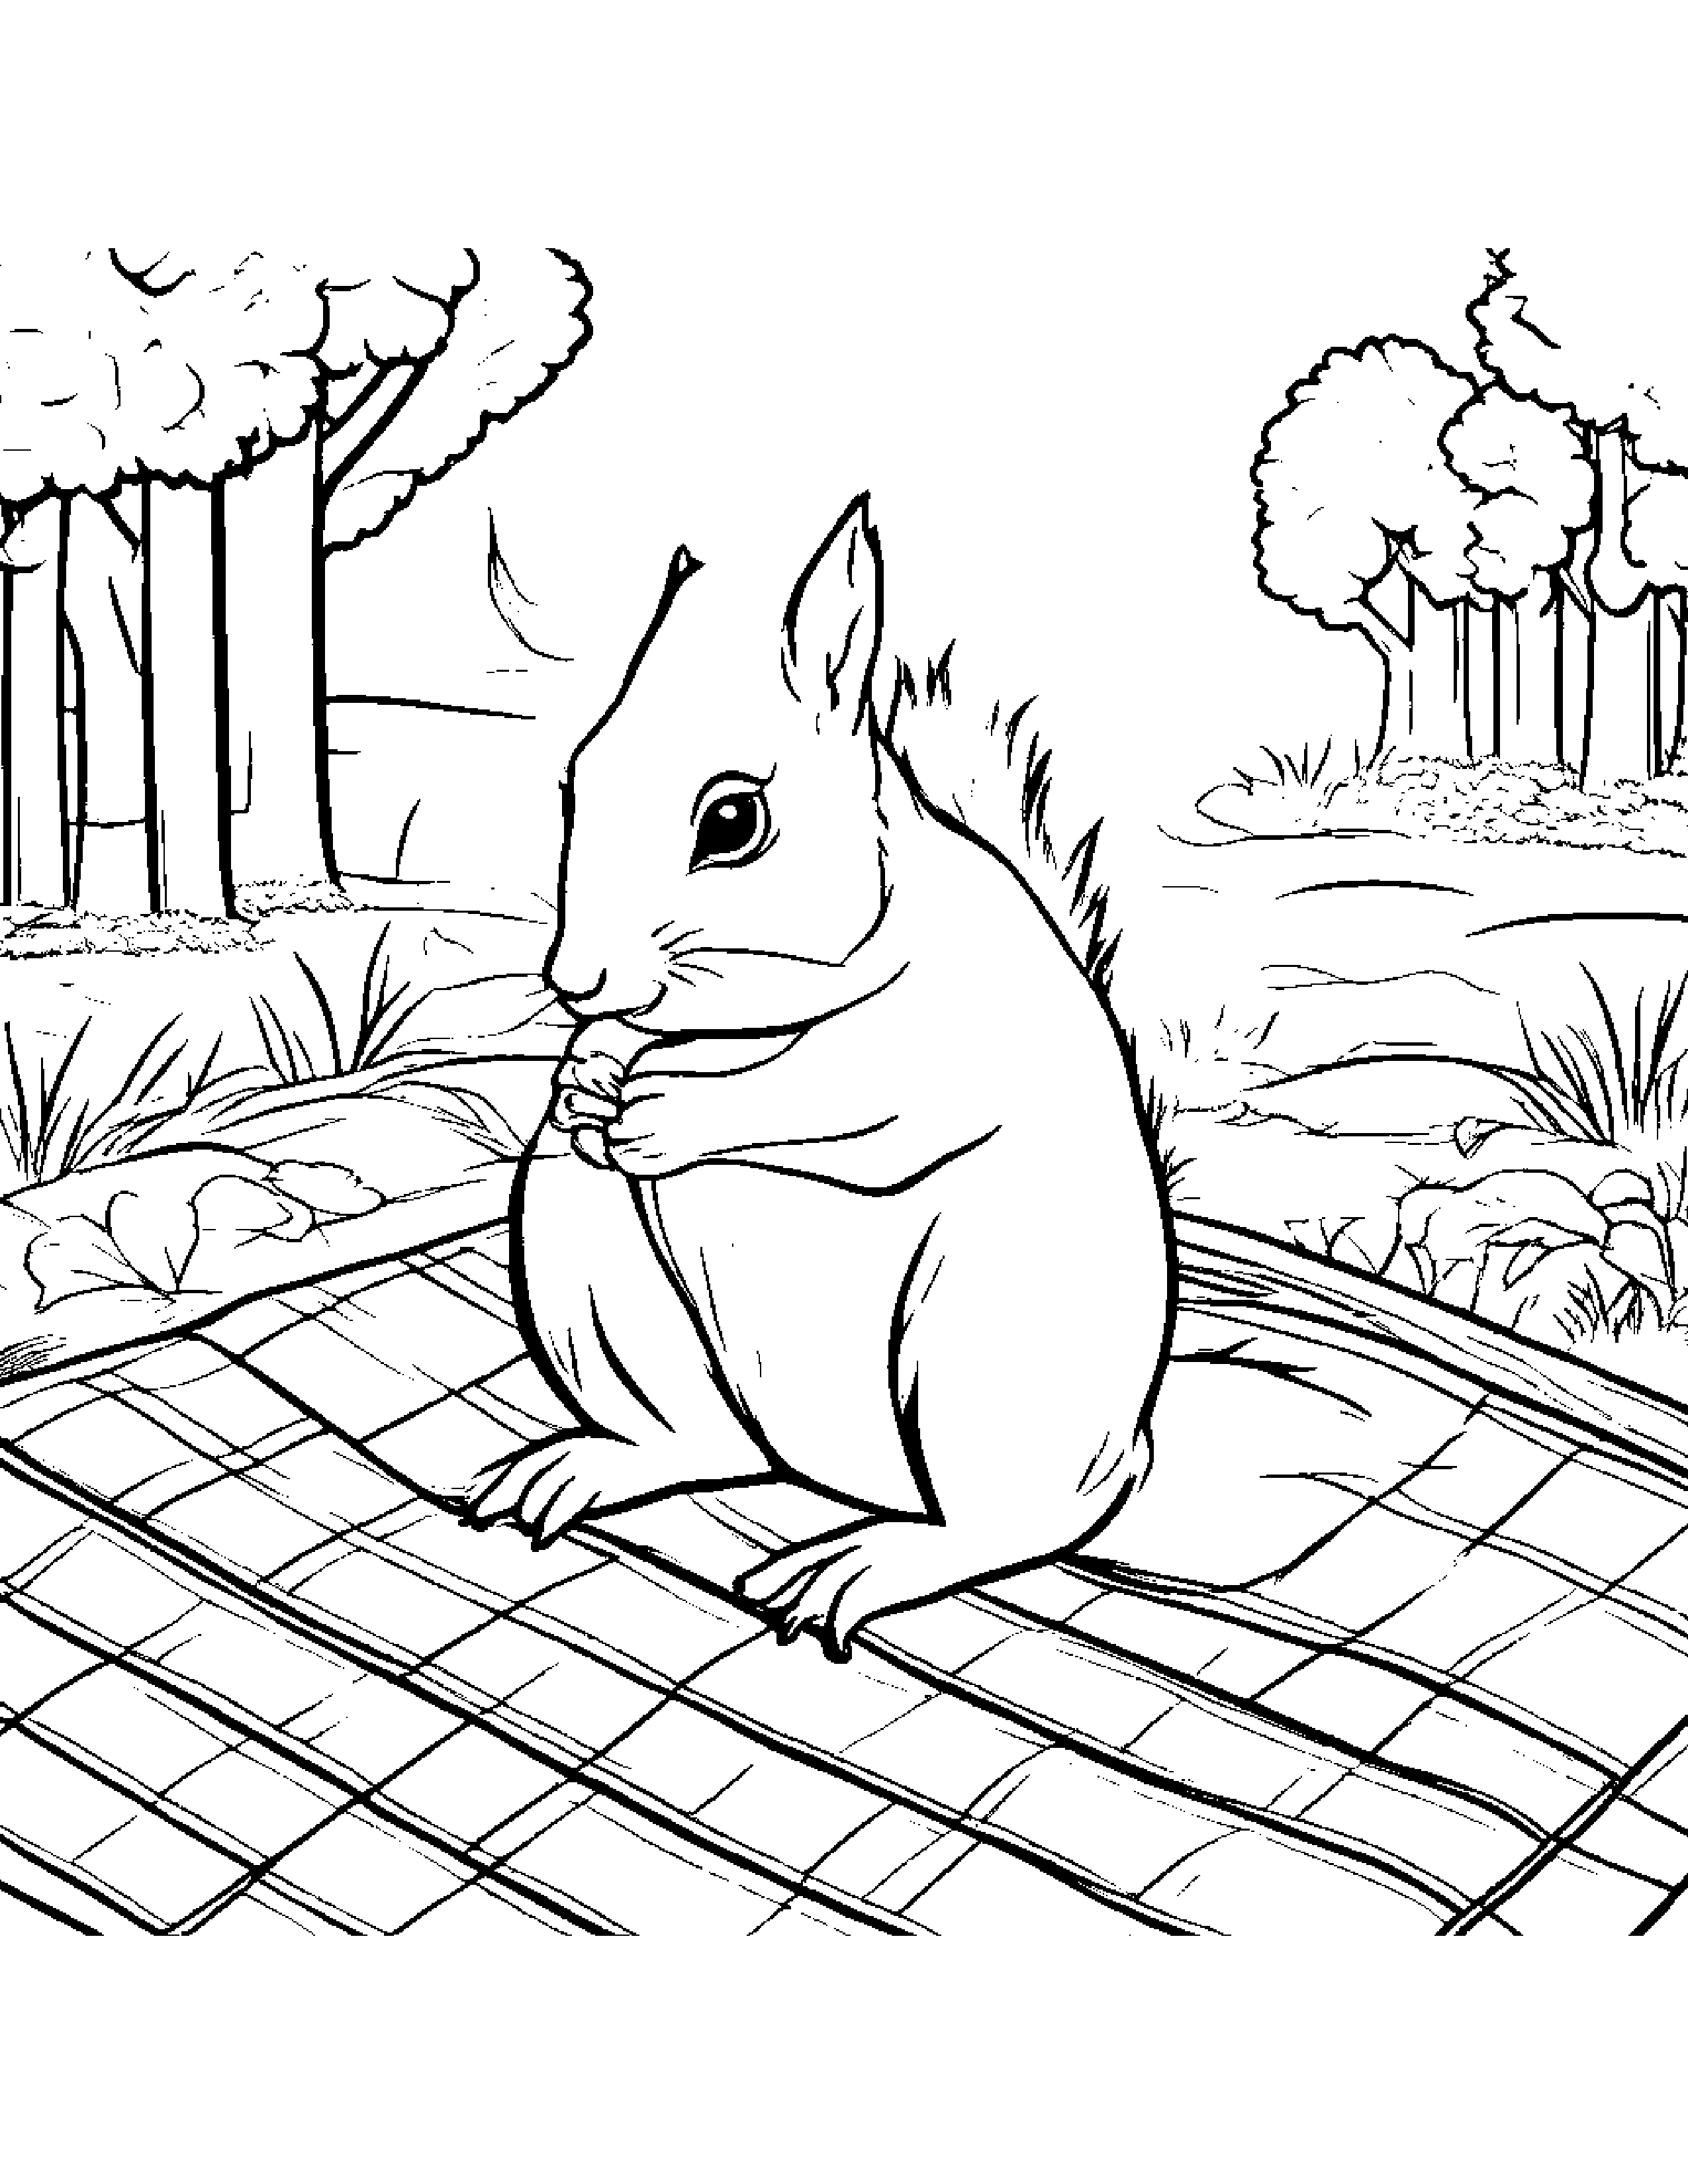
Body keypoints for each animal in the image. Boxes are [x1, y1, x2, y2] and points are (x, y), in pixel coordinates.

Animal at [464, 494, 1176, 1661]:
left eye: (732, 822)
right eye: (574, 783)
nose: (574, 980)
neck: (735, 1020)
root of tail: (836, 1475)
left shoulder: (941, 1042)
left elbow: (842, 1099)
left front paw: (663, 1112)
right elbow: (612, 1065)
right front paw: (584, 1080)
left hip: (985, 1345)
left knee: (1020, 1520)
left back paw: (860, 1566)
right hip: (589, 1264)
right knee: (704, 1441)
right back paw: (588, 1466)